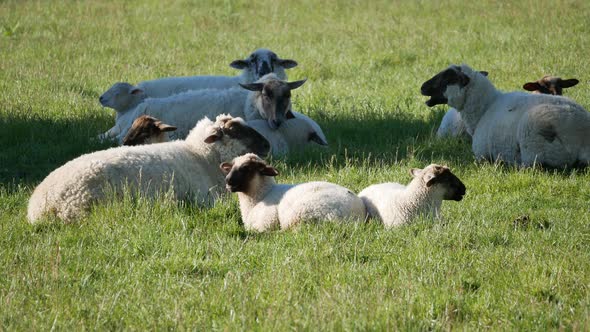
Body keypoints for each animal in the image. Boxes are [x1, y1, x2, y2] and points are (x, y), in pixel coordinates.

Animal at [222, 154, 368, 232]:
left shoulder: (266, 222)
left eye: (246, 168)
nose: (227, 180)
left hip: (300, 214)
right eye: (231, 167)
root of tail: (358, 212)